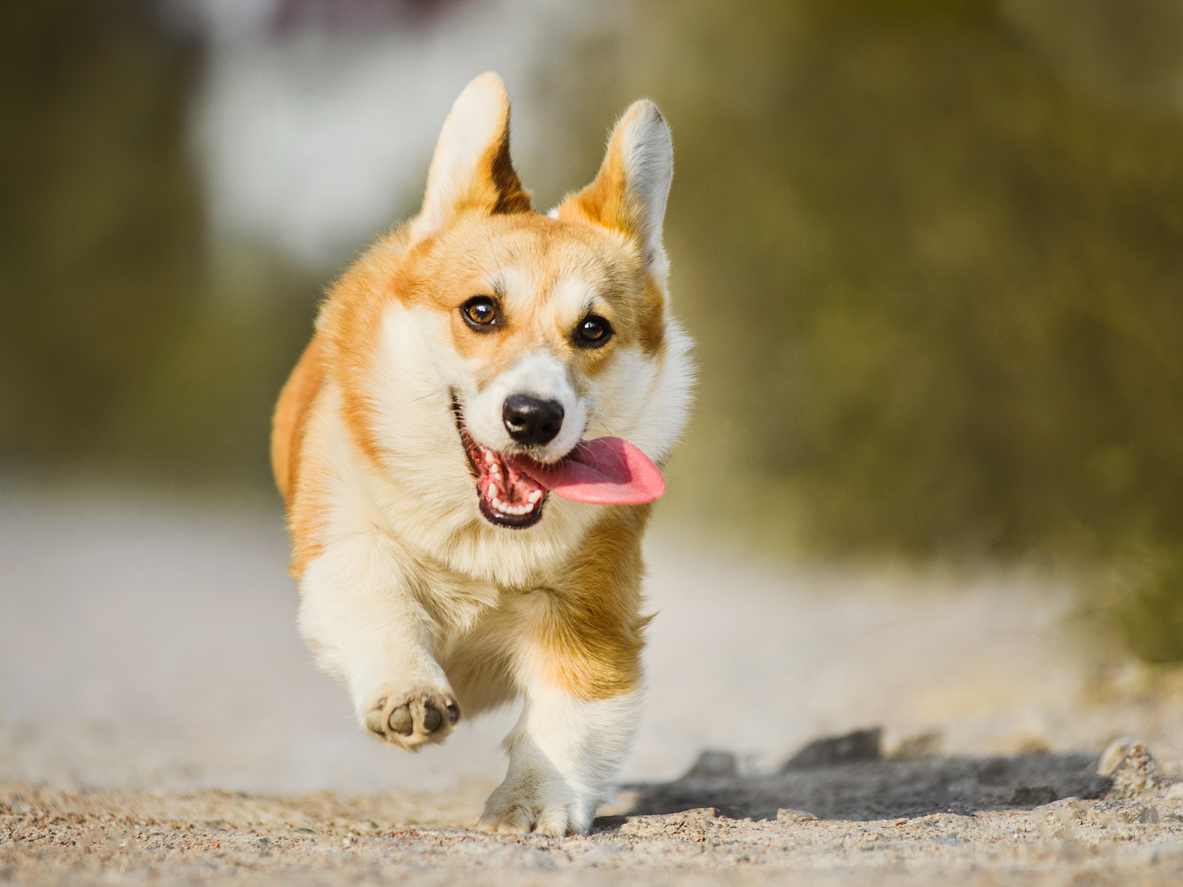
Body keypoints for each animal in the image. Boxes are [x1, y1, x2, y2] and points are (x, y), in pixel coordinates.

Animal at [270, 73, 690, 837]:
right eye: (481, 311)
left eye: (593, 329)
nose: (533, 416)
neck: (482, 538)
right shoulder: (342, 544)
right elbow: (378, 596)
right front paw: (407, 694)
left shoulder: (592, 611)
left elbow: (570, 712)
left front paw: (534, 802)